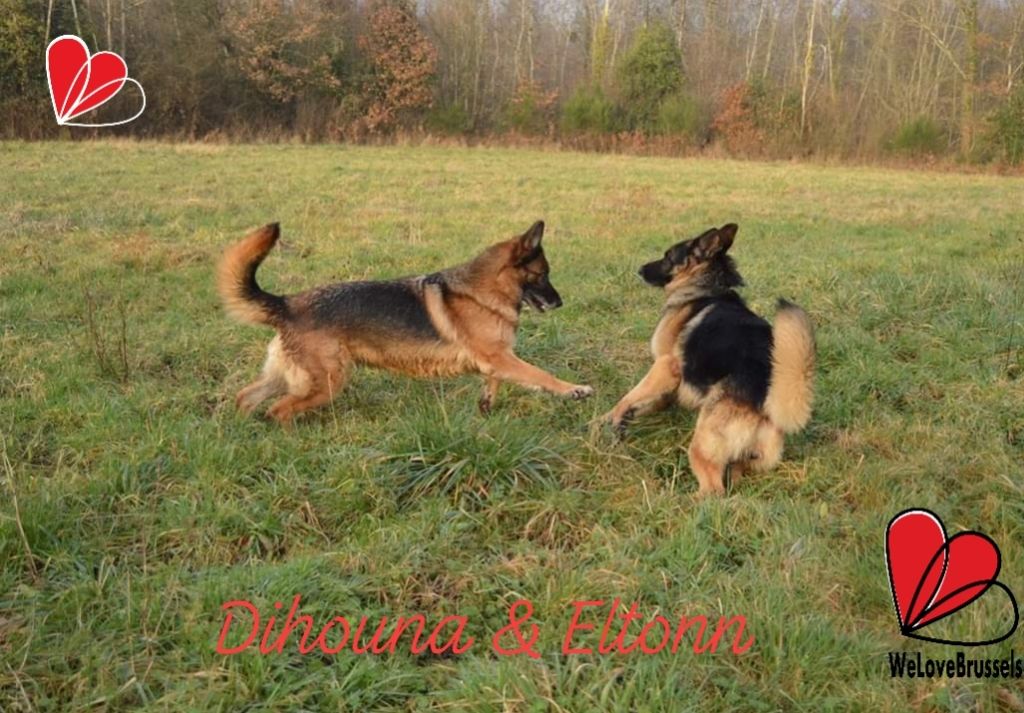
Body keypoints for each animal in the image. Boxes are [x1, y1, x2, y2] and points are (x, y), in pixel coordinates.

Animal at [220, 221, 598, 424]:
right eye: (543, 275)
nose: (560, 302)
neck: (482, 291)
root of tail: (287, 303)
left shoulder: (495, 361)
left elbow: (493, 384)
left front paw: (486, 407)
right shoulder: (500, 357)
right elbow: (541, 375)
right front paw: (574, 390)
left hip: (288, 376)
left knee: (246, 397)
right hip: (325, 383)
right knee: (278, 410)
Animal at [606, 223, 815, 495]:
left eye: (668, 256)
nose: (640, 269)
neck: (706, 288)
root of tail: (766, 403)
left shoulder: (665, 366)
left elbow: (631, 395)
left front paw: (614, 415)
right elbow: (649, 400)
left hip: (703, 443)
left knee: (713, 491)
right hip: (748, 460)